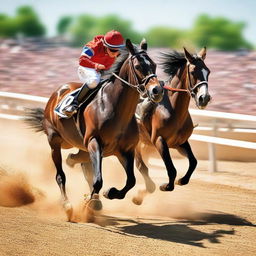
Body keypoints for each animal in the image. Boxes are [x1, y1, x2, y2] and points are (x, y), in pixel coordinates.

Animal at [24, 39, 164, 221]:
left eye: (154, 65)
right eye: (138, 66)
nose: (157, 90)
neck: (115, 109)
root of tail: (57, 92)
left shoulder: (124, 150)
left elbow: (131, 180)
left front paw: (109, 193)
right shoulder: (94, 142)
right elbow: (98, 180)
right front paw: (89, 204)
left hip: (81, 146)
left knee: (78, 161)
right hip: (55, 140)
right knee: (61, 175)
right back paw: (67, 205)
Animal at [133, 47, 211, 204]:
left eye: (208, 71)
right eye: (193, 72)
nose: (204, 98)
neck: (173, 110)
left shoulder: (180, 143)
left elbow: (194, 162)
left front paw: (182, 180)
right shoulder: (159, 141)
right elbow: (171, 168)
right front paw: (167, 186)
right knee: (140, 165)